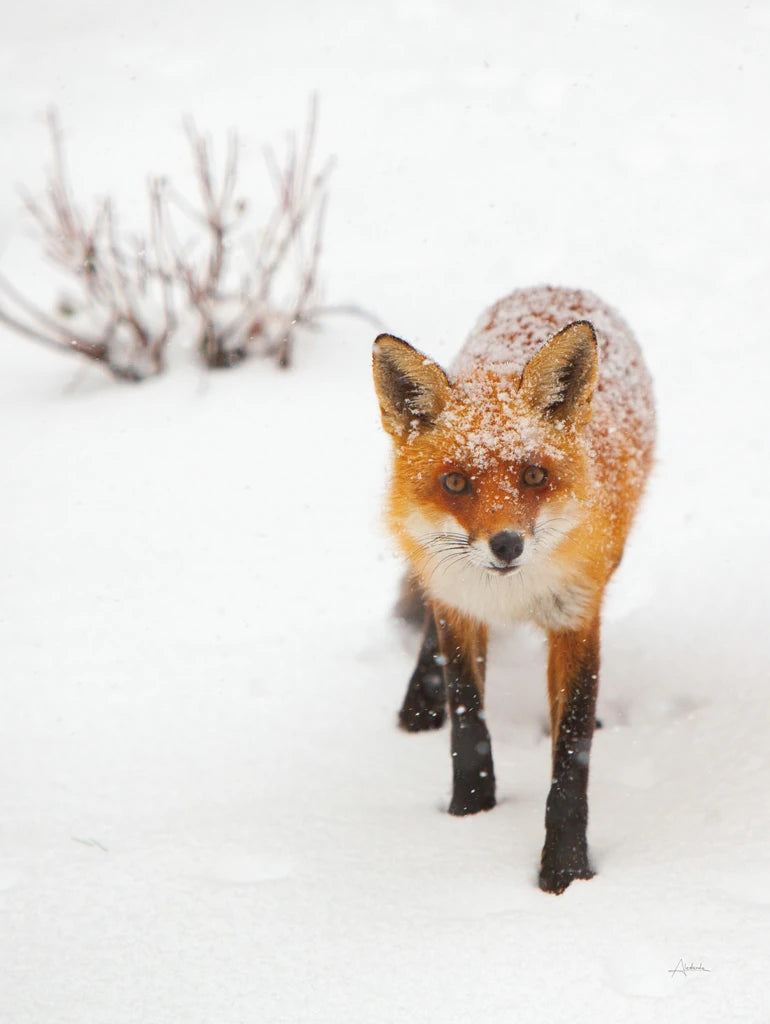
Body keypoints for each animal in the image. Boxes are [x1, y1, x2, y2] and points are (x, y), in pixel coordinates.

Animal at [372, 285, 655, 894]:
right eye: (456, 482)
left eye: (533, 477)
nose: (506, 545)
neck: (511, 597)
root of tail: (554, 286)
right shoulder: (460, 608)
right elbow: (467, 722)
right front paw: (470, 813)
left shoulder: (577, 617)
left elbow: (571, 757)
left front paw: (566, 869)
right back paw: (418, 704)